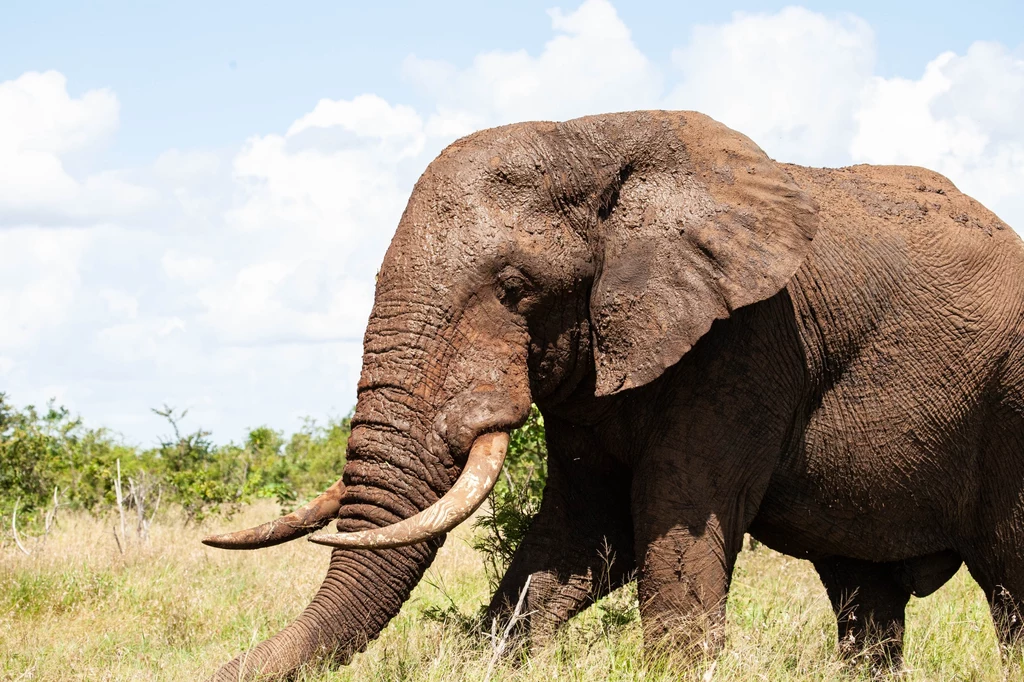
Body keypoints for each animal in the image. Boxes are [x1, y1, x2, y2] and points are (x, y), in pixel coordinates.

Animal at [201, 109, 1024, 675]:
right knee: (865, 597)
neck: (595, 139)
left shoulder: (749, 345)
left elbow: (670, 534)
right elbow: (584, 535)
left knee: (1009, 583)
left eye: (514, 288)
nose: (217, 669)